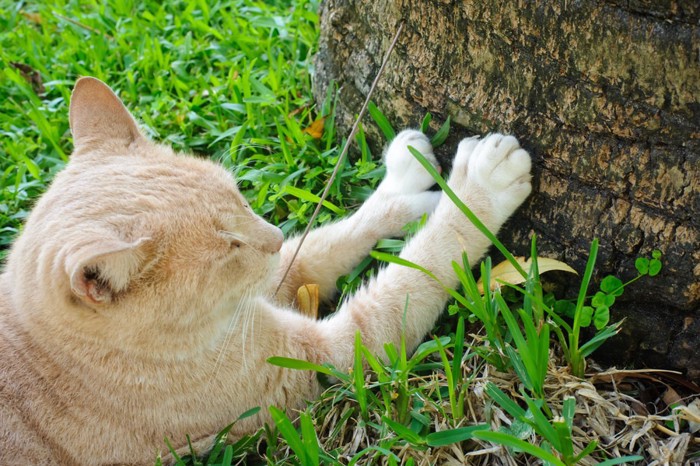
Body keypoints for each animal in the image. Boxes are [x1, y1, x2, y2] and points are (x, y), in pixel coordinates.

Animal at [0, 78, 532, 464]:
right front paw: (479, 190)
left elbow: (327, 243)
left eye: (239, 196)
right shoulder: (325, 358)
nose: (273, 237)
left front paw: (404, 186)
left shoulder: (271, 284)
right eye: (229, 247)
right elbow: (421, 268)